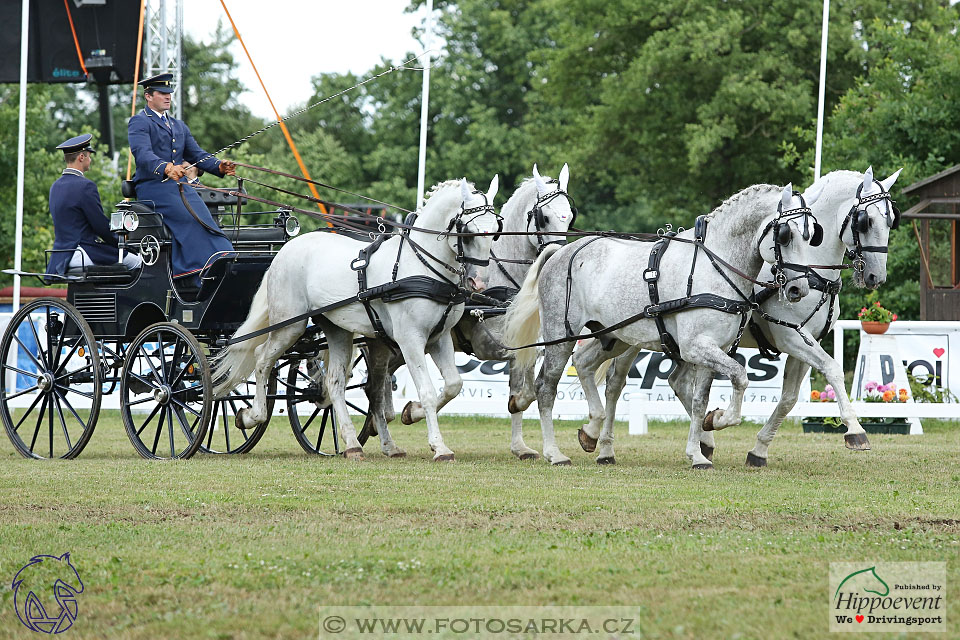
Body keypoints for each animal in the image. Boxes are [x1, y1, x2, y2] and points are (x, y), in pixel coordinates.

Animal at [214, 178, 502, 462]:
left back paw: (352, 444)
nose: (479, 282)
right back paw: (251, 416)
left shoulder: (439, 339)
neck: (420, 265)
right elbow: (428, 391)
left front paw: (412, 412)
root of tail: (287, 248)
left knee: (334, 382)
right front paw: (439, 447)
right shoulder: (410, 340)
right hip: (290, 325)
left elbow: (453, 385)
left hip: (337, 329)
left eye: (495, 232)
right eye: (469, 232)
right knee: (262, 359)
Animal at [358, 165, 572, 462]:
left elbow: (524, 392)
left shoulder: (521, 344)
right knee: (373, 386)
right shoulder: (491, 343)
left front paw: (519, 445)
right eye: (545, 217)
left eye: (570, 217)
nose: (559, 257)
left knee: (379, 386)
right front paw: (413, 411)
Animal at [502, 182, 816, 468]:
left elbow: (700, 401)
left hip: (613, 336)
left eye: (812, 235)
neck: (714, 264)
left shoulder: (715, 349)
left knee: (584, 363)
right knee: (545, 387)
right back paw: (554, 453)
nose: (799, 288)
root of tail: (560, 252)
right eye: (785, 234)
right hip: (561, 334)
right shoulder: (694, 348)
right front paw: (719, 419)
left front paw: (698, 453)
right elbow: (740, 377)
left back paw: (592, 433)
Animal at [576, 165, 900, 464]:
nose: (876, 276)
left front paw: (758, 449)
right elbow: (832, 369)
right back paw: (604, 446)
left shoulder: (805, 343)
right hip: (633, 338)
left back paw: (701, 438)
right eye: (866, 220)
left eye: (891, 220)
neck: (811, 270)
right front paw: (855, 430)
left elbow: (789, 398)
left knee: (673, 382)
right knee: (615, 383)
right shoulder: (790, 337)